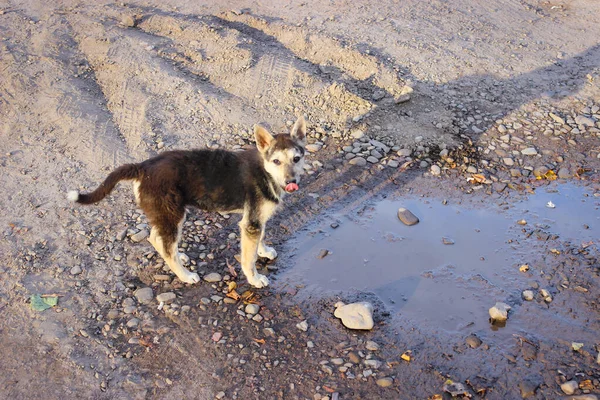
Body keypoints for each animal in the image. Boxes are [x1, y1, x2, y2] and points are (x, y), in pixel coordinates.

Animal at [68, 115, 308, 288]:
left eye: (296, 159)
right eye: (276, 161)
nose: (291, 182)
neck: (265, 171)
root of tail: (143, 167)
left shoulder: (255, 220)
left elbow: (260, 239)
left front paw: (263, 251)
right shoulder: (251, 223)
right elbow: (248, 259)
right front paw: (255, 279)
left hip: (166, 214)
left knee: (156, 238)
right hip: (173, 213)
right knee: (167, 249)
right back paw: (185, 275)